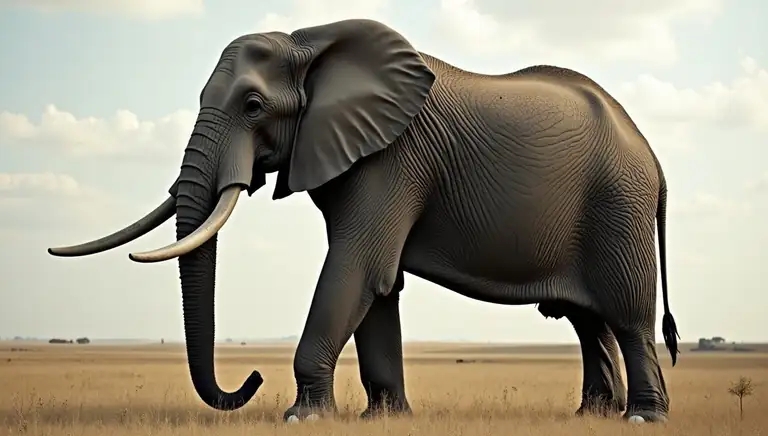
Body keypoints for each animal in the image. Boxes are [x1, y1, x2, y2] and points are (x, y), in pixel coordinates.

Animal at [47, 18, 680, 424]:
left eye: (252, 107)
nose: (249, 379)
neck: (310, 43)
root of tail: (653, 157)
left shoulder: (394, 158)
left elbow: (356, 268)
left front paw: (302, 417)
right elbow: (378, 284)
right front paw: (386, 417)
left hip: (618, 205)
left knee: (626, 313)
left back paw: (642, 419)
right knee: (585, 319)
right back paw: (593, 414)